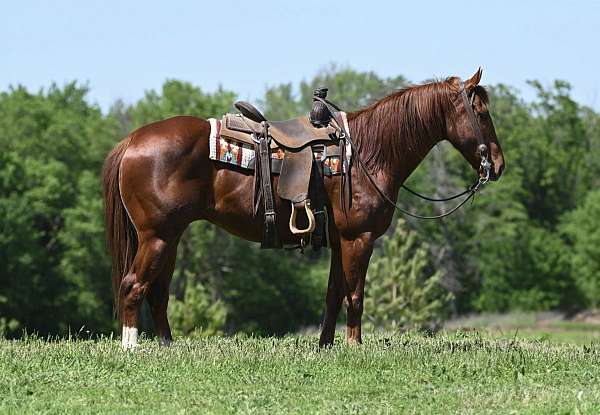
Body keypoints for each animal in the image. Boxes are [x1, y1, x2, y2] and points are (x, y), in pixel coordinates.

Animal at [102, 70, 502, 350]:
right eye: (481, 113)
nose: (497, 165)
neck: (369, 152)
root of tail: (132, 141)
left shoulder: (340, 241)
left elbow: (333, 293)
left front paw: (326, 346)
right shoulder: (359, 238)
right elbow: (355, 295)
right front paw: (355, 346)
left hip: (169, 237)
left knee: (158, 291)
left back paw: (167, 346)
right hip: (156, 236)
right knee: (133, 285)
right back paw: (131, 347)